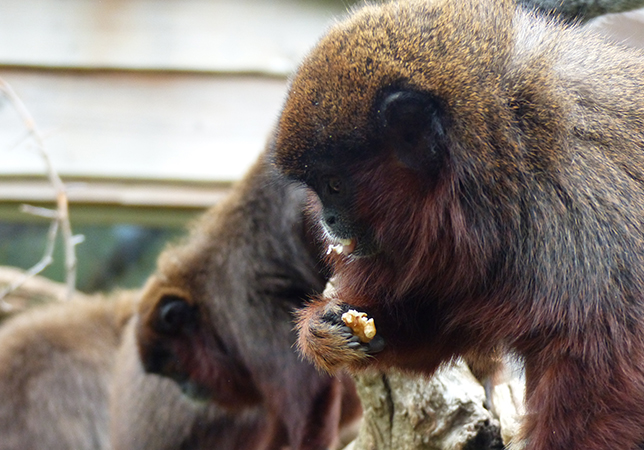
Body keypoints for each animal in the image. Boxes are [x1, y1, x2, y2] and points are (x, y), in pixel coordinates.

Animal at [133, 148, 362, 450]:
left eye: (175, 365)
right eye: (169, 374)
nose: (185, 390)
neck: (206, 299)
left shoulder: (247, 308)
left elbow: (314, 395)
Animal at [271, 0, 644, 449]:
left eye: (335, 185)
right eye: (321, 189)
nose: (327, 220)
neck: (508, 160)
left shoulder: (585, 220)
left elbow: (604, 383)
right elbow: (440, 318)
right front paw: (325, 327)